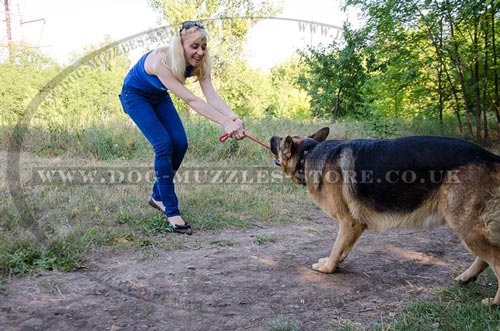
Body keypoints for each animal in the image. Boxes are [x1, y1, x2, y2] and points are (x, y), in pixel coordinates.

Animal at [272, 127, 500, 306]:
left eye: (281, 141)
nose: (271, 137)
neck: (308, 153)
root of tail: (490, 157)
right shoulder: (354, 226)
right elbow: (343, 247)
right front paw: (334, 262)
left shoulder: (349, 222)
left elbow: (337, 247)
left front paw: (328, 268)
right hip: (470, 228)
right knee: (485, 258)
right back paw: (466, 277)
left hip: (465, 226)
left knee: (495, 260)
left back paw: (493, 302)